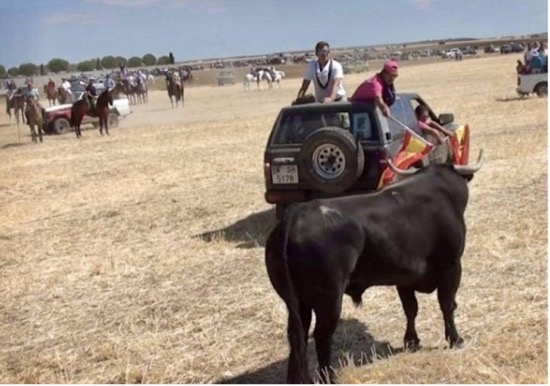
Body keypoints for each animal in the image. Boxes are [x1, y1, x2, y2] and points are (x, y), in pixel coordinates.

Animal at [266, 153, 486, 382]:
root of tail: (294, 217)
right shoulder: (452, 267)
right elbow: (447, 305)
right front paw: (455, 339)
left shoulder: (404, 277)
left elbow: (411, 309)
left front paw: (411, 341)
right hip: (329, 299)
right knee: (322, 336)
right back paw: (330, 377)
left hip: (298, 302)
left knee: (296, 335)